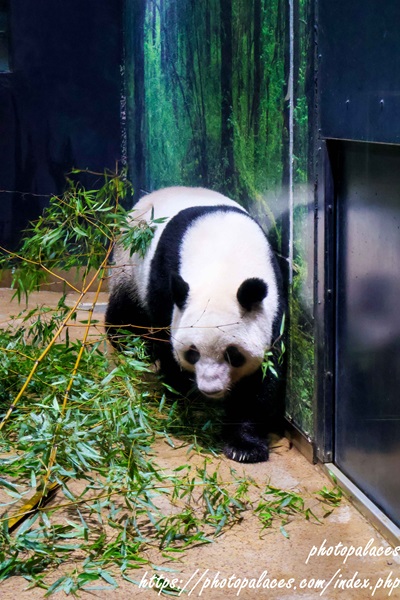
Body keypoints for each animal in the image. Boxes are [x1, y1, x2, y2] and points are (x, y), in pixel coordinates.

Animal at [104, 188, 286, 464]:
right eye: (193, 353)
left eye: (233, 355)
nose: (210, 388)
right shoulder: (166, 283)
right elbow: (165, 339)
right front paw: (177, 390)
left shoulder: (271, 304)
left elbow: (262, 378)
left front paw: (244, 446)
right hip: (129, 260)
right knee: (125, 308)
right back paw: (128, 342)